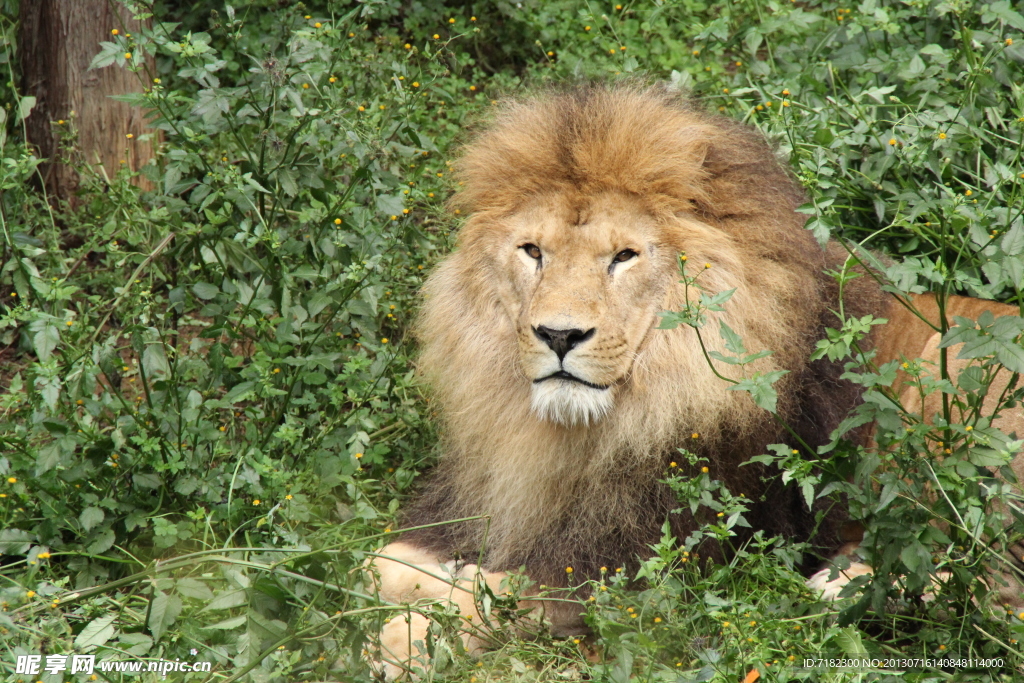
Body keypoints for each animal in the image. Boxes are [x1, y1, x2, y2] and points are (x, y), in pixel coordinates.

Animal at [368, 82, 1024, 675]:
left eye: (624, 256)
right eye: (533, 251)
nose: (558, 335)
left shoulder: (642, 566)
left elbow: (497, 597)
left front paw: (399, 640)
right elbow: (380, 561)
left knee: (986, 587)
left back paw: (840, 587)